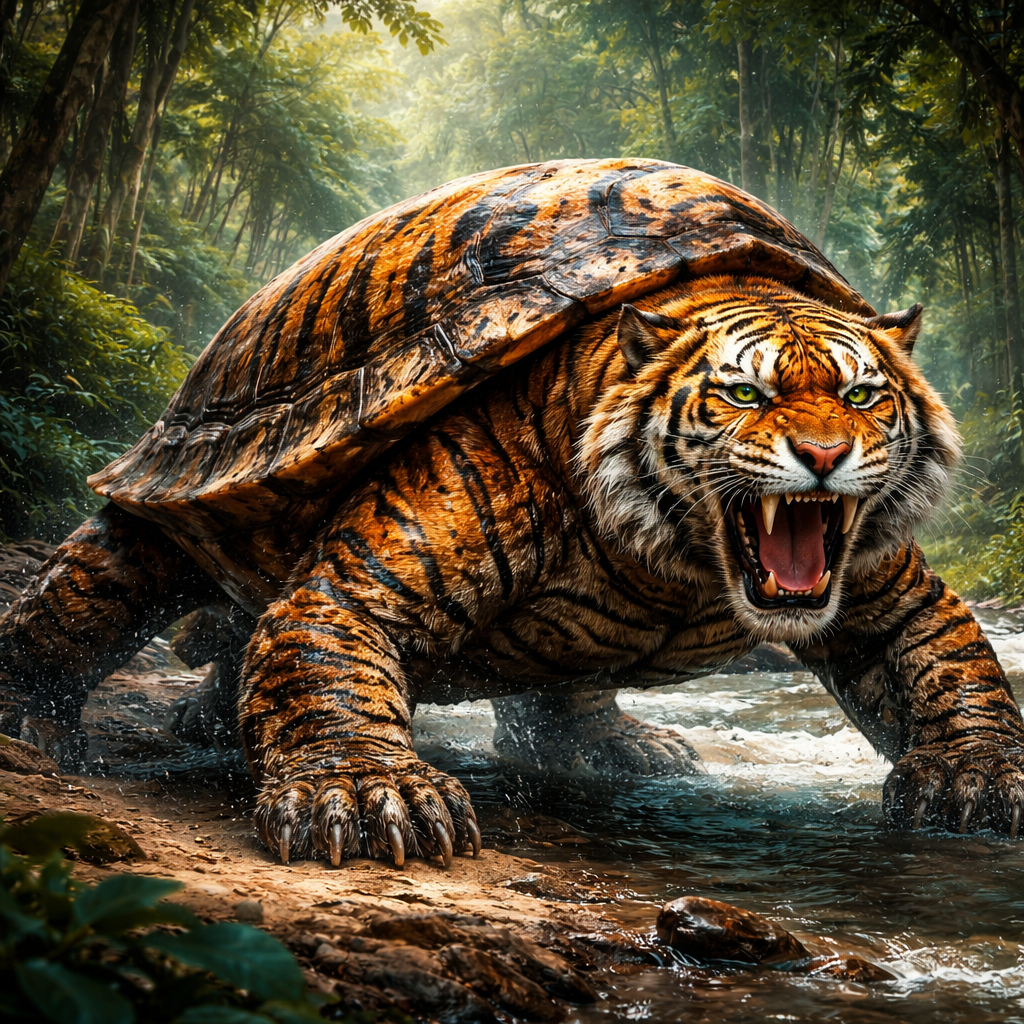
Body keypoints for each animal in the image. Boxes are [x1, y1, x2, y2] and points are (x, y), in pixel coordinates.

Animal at [2, 273, 1022, 869]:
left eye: (863, 394)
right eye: (744, 392)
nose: (824, 455)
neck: (671, 561)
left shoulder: (888, 590)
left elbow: (951, 661)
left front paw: (977, 782)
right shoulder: (363, 579)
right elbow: (326, 656)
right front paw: (366, 797)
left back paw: (626, 749)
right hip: (171, 493)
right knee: (83, 593)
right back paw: (32, 718)